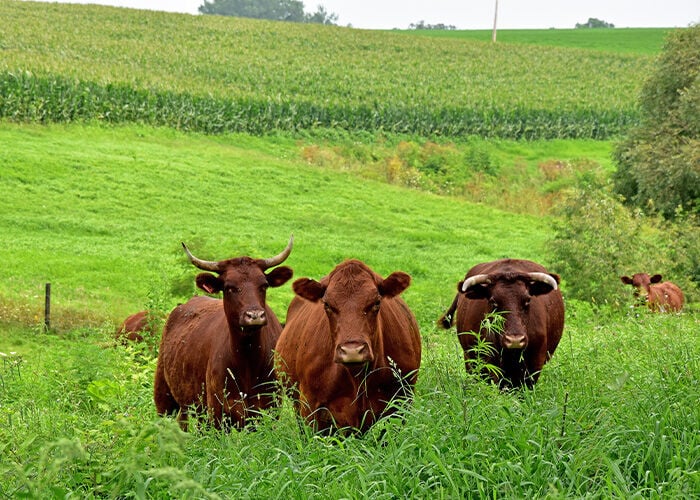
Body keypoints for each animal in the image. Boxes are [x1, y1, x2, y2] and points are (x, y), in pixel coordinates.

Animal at [153, 236, 294, 430]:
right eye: (229, 287)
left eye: (264, 285)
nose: (255, 315)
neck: (248, 360)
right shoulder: (218, 415)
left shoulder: (268, 411)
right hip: (164, 396)